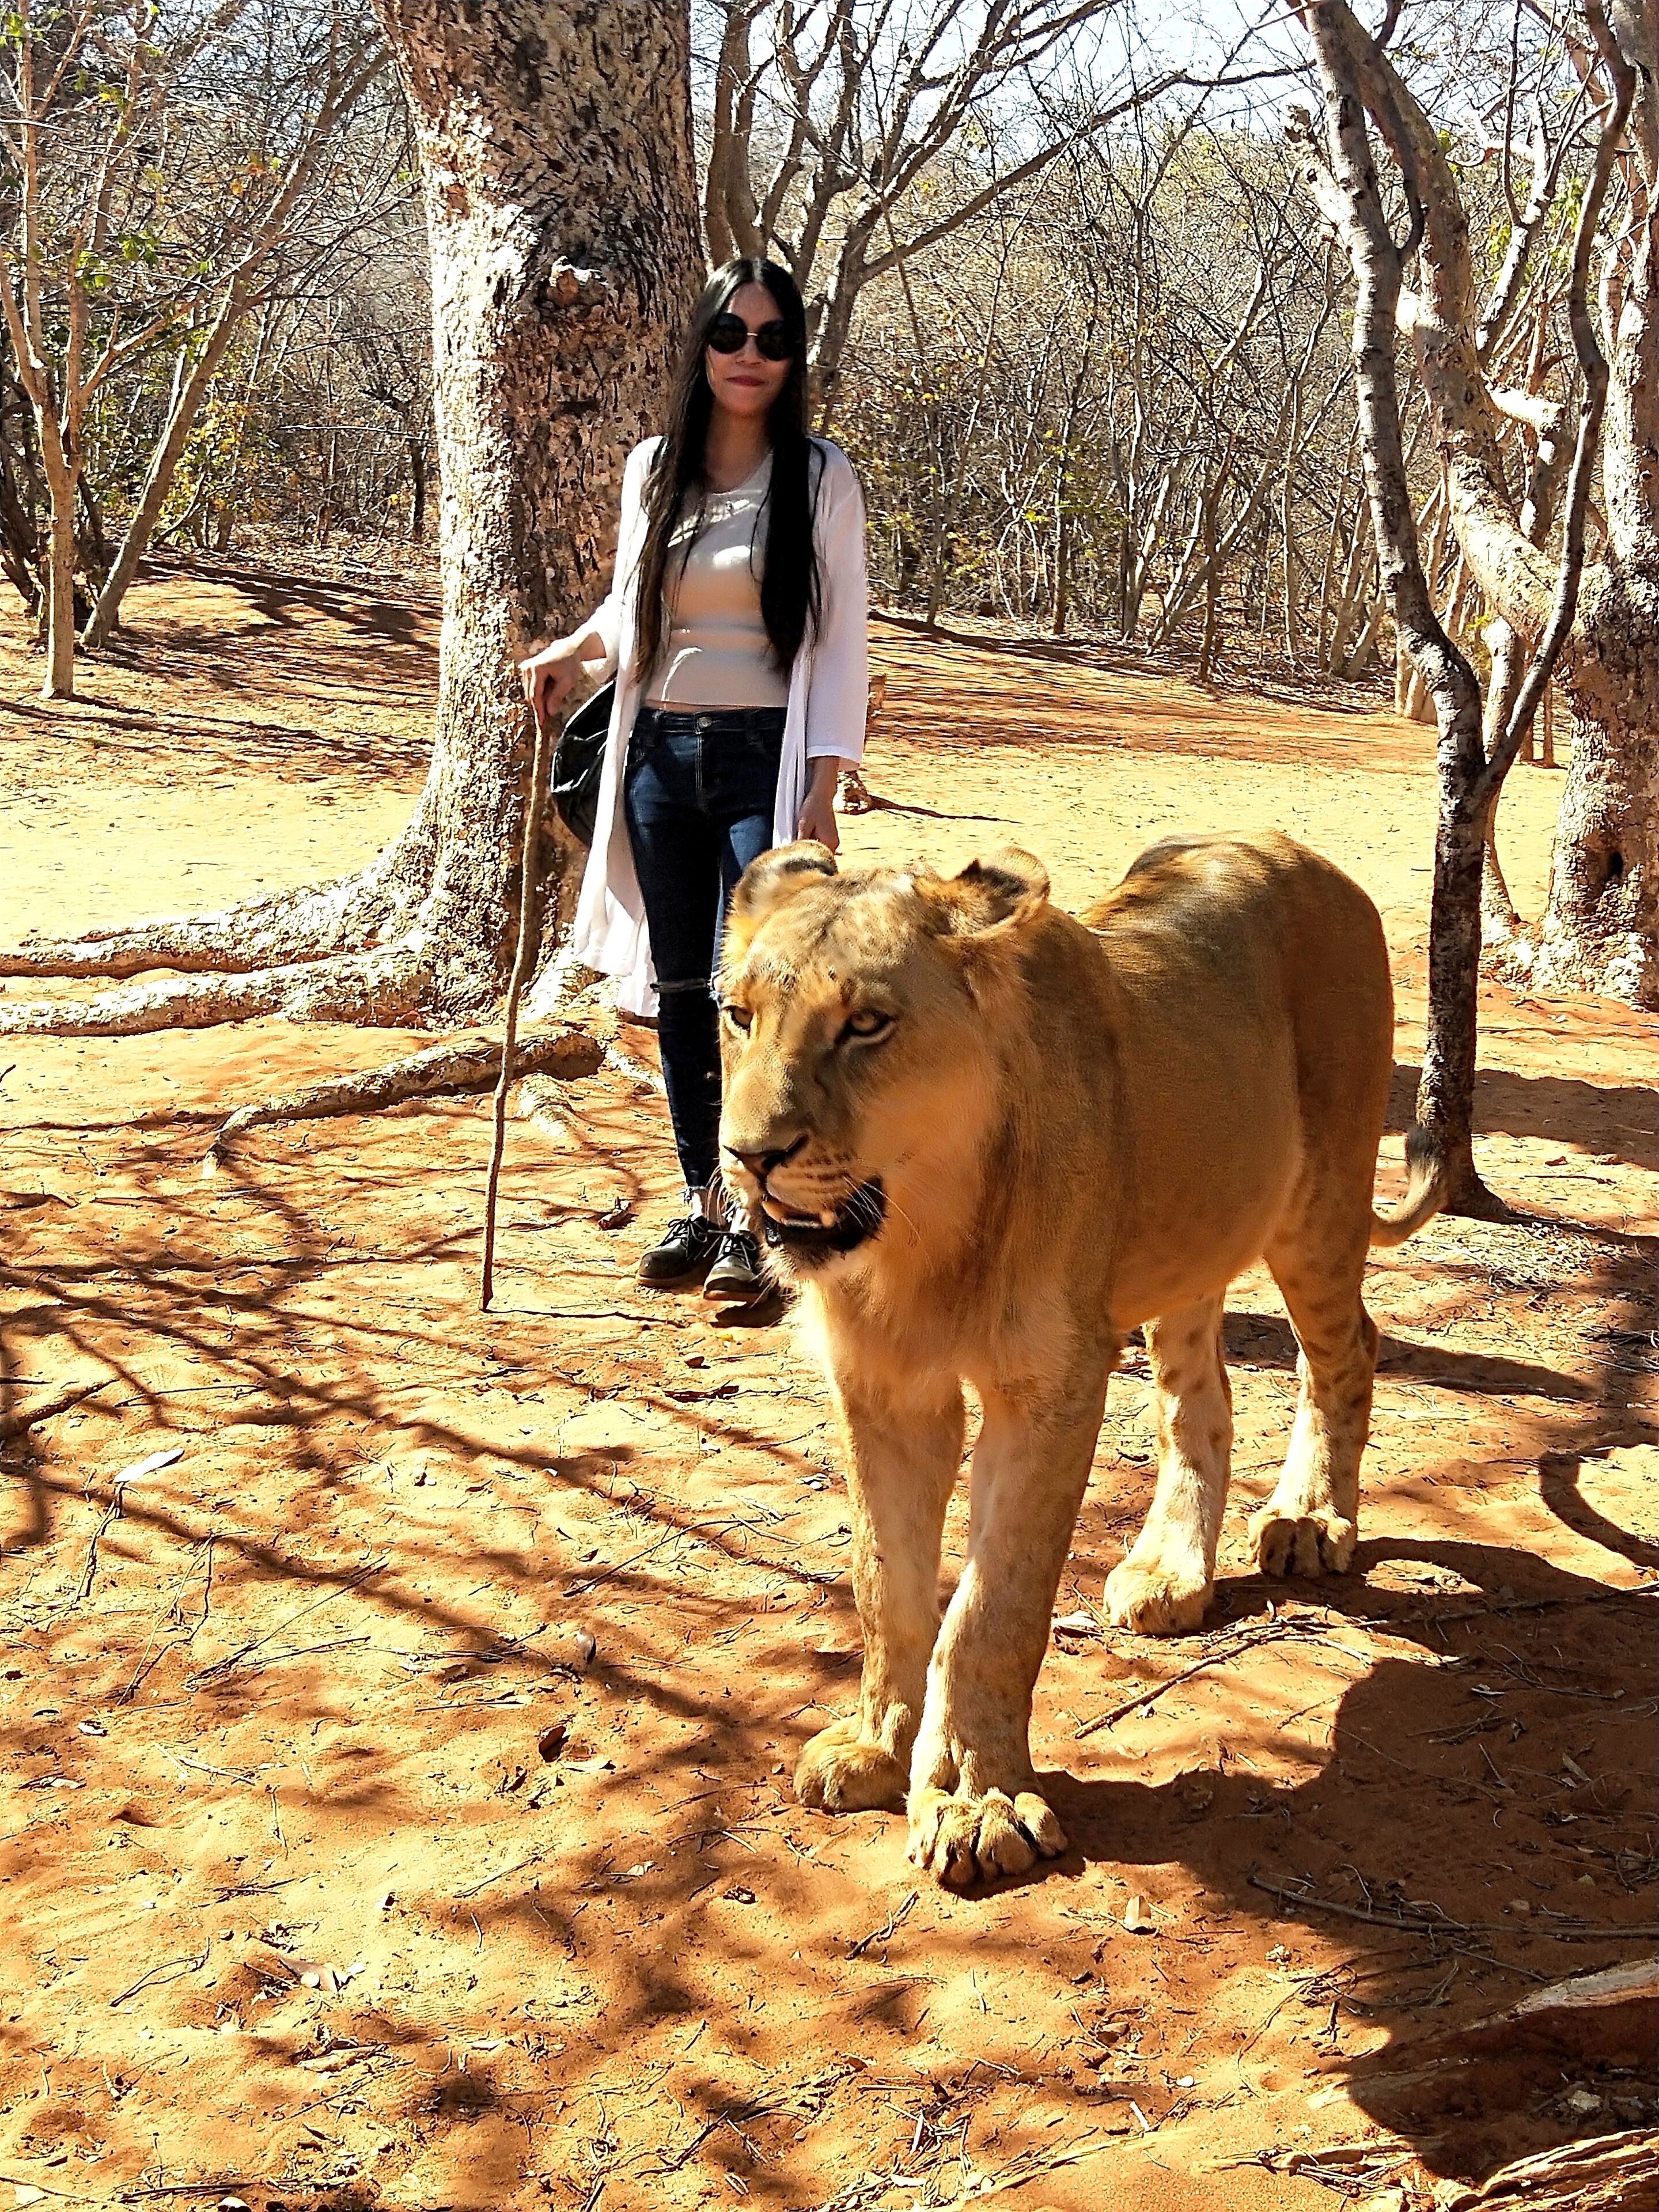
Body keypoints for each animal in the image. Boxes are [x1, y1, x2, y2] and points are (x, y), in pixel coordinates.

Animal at [717, 831, 1444, 1890]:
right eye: (738, 1016)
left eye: (867, 1025)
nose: (747, 1156)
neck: (921, 1244)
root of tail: (1288, 848)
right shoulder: (883, 1387)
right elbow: (884, 1583)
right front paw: (877, 1748)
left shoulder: (1048, 1387)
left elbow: (991, 1612)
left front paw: (976, 1803)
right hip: (1190, 1240)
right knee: (1200, 1402)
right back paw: (1171, 1574)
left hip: (1319, 1204)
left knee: (1348, 1350)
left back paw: (1310, 1522)